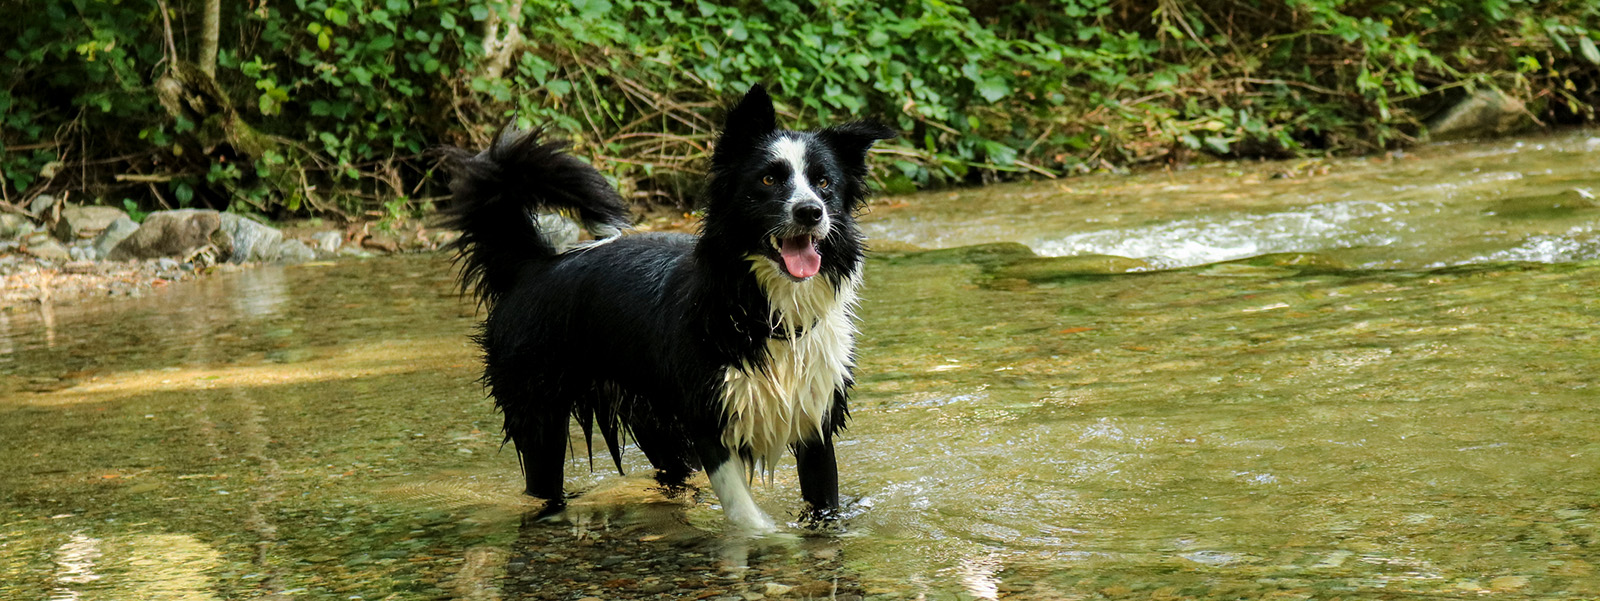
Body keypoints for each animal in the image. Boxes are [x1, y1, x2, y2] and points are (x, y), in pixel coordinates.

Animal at [438, 84, 896, 530]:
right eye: (769, 179)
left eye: (824, 183)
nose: (810, 212)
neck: (763, 311)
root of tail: (532, 263)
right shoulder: (709, 420)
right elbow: (748, 517)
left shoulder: (816, 422)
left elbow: (823, 507)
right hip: (539, 417)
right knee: (544, 485)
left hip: (653, 422)